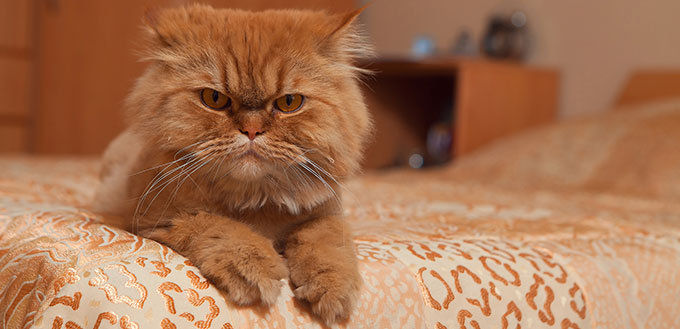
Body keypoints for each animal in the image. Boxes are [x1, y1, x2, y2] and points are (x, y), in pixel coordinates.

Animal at [92, 3, 372, 324]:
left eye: (289, 103)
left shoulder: (326, 213)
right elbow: (222, 228)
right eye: (214, 98)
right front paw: (255, 269)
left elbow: (327, 243)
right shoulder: (155, 219)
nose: (251, 130)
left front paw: (333, 289)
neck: (256, 198)